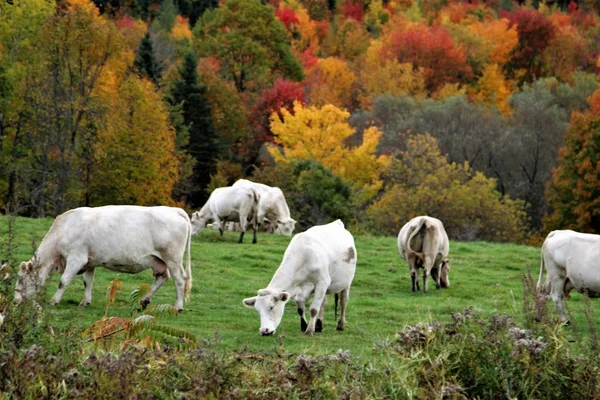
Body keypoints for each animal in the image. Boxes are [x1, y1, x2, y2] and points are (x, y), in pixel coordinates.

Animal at [14, 206, 192, 312]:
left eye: (21, 280)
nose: (16, 301)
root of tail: (174, 210)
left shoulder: (76, 258)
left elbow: (63, 281)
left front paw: (54, 301)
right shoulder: (89, 262)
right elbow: (88, 282)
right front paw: (85, 302)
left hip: (173, 259)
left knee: (180, 280)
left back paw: (178, 307)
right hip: (159, 260)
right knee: (162, 278)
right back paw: (144, 300)